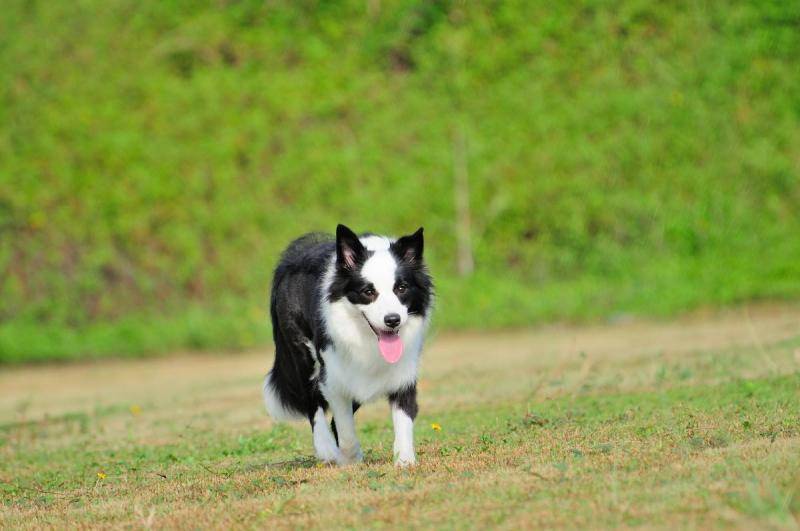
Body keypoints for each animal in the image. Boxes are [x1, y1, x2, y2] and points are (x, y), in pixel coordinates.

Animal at [264, 224, 434, 466]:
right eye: (368, 292)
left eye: (401, 288)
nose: (392, 320)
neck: (366, 340)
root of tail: (290, 256)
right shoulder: (333, 375)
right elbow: (345, 428)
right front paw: (349, 458)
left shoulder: (403, 372)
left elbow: (403, 418)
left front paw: (405, 460)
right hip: (302, 354)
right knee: (313, 403)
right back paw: (326, 448)